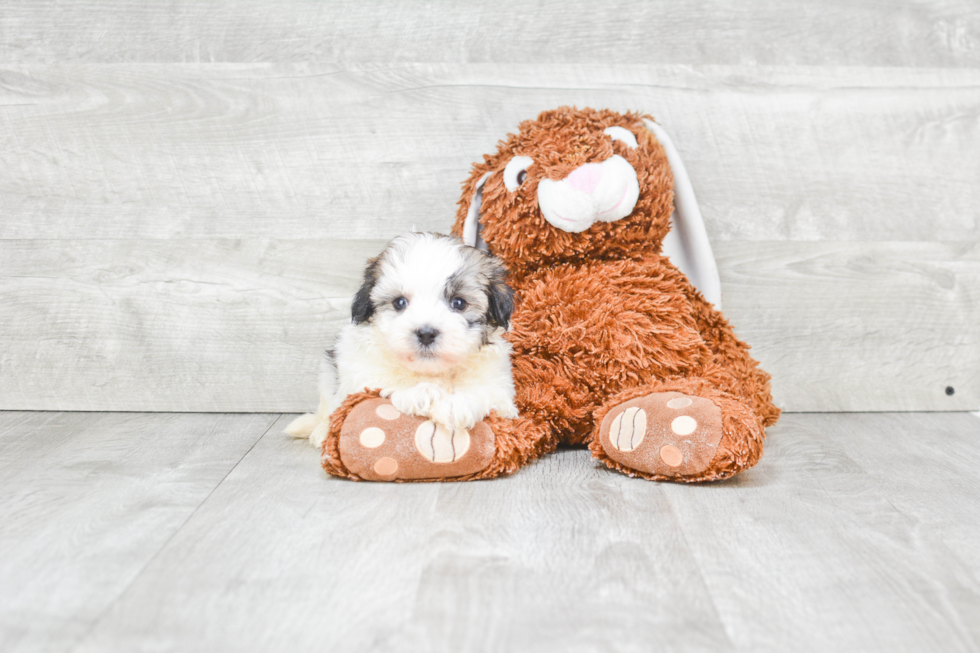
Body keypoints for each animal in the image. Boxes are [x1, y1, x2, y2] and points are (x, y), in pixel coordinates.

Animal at [284, 233, 520, 448]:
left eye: (459, 303)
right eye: (399, 302)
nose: (426, 333)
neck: (431, 372)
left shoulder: (501, 388)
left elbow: (488, 392)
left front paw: (456, 404)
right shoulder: (360, 371)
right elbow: (381, 384)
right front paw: (421, 392)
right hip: (328, 375)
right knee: (328, 410)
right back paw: (321, 430)